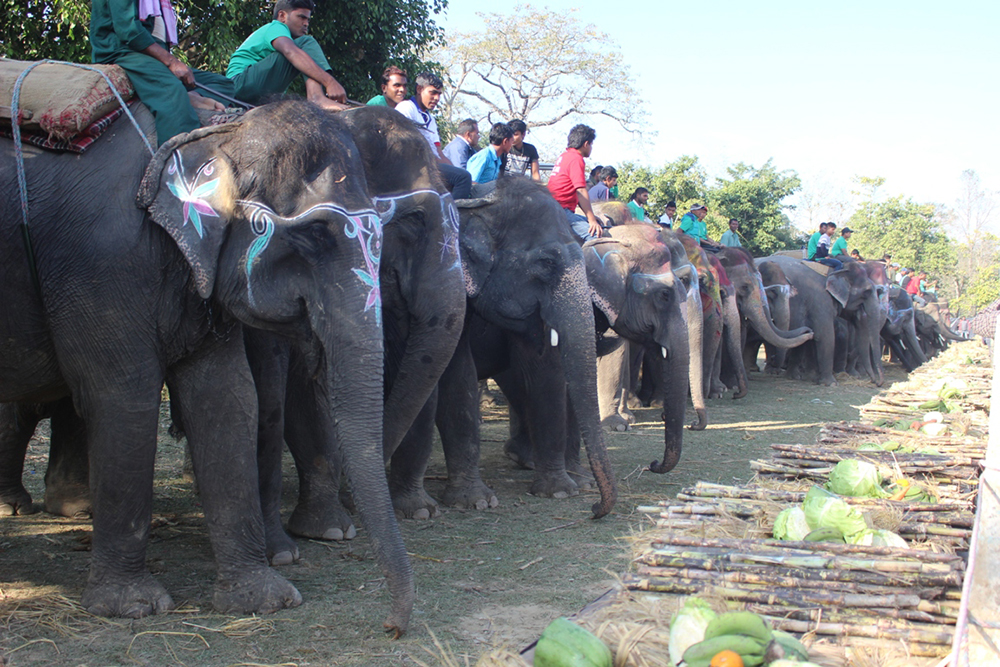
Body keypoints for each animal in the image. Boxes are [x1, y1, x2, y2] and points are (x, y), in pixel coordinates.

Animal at [0, 102, 414, 636]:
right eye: (313, 235)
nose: (391, 626)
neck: (218, 133)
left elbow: (228, 400)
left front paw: (265, 600)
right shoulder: (100, 266)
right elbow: (123, 399)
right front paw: (134, 607)